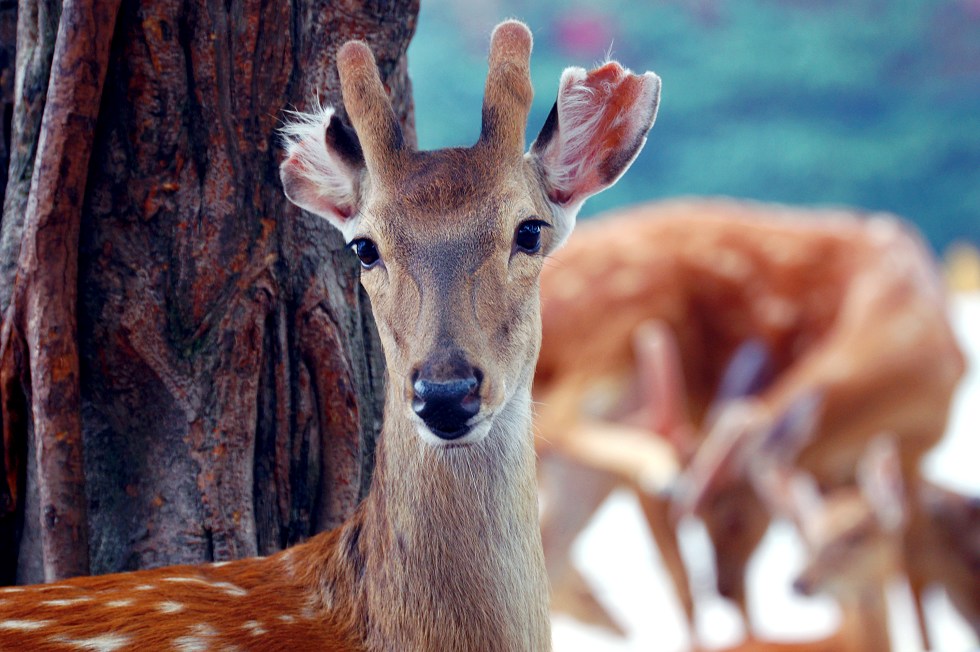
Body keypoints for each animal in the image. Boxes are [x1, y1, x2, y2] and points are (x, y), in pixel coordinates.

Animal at [528, 197, 964, 640]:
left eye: (734, 517)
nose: (722, 587)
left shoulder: (886, 462)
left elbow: (901, 565)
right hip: (621, 331)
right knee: (557, 425)